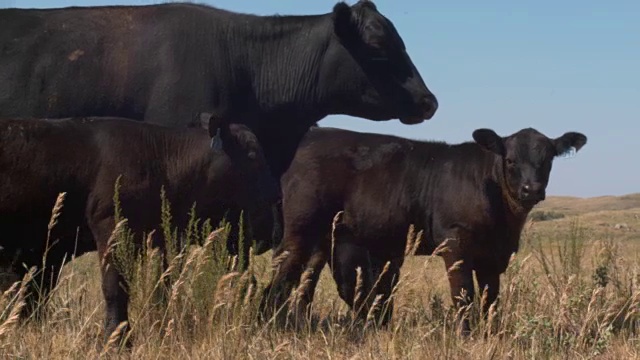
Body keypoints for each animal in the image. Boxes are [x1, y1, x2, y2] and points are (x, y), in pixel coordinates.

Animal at [0, 115, 278, 344]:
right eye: (252, 156)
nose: (275, 205)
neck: (162, 160)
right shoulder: (111, 227)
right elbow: (115, 288)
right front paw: (117, 338)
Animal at [258, 126, 584, 332]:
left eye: (548, 160)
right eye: (511, 160)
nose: (532, 189)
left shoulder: (494, 256)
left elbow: (491, 299)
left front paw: (491, 333)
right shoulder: (454, 243)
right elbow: (463, 294)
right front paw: (466, 334)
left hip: (323, 237)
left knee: (305, 282)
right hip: (297, 232)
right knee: (279, 281)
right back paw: (268, 325)